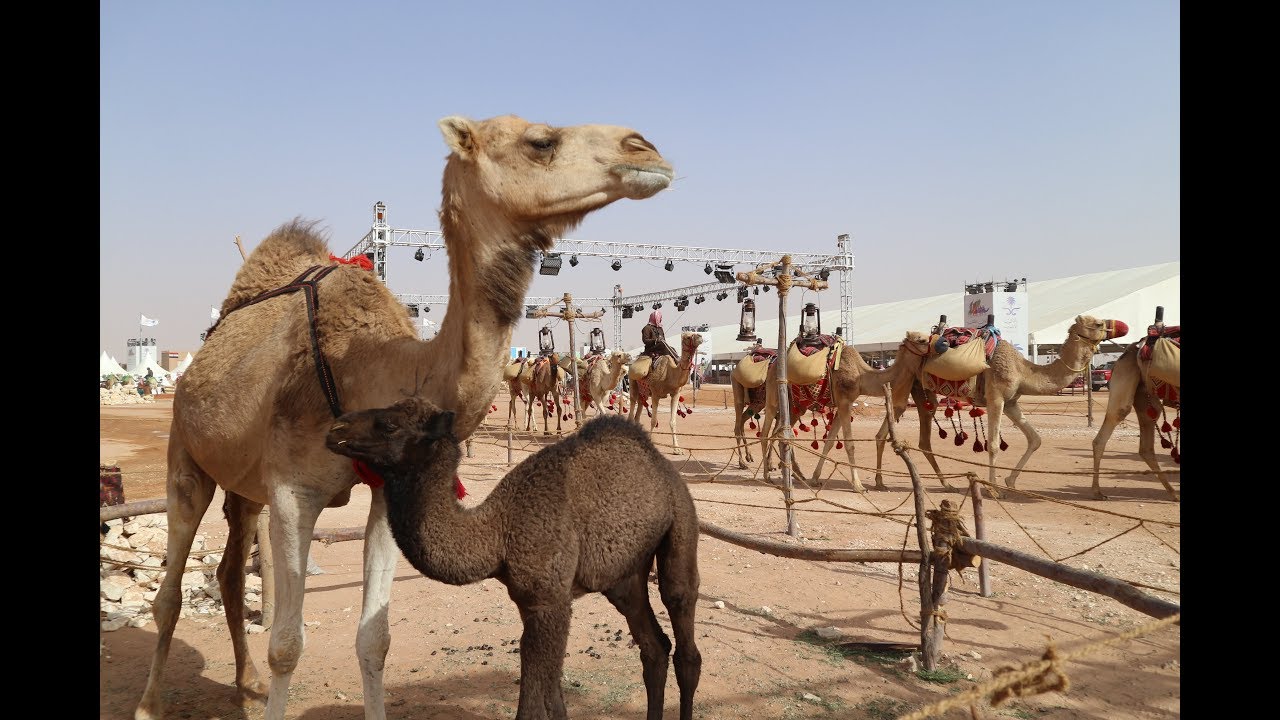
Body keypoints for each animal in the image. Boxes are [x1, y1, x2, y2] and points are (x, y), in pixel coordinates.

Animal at [325, 397, 702, 720]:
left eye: (389, 425)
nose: (335, 430)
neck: (499, 534)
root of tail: (660, 464)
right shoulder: (529, 602)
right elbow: (553, 693)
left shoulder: (549, 601)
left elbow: (534, 706)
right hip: (624, 576)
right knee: (654, 647)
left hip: (682, 520)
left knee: (683, 626)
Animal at [874, 315, 1128, 499]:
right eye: (1098, 323)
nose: (1122, 326)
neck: (1023, 370)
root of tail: (905, 342)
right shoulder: (996, 397)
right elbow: (994, 445)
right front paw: (993, 488)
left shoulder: (1011, 402)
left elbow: (1035, 439)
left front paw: (1010, 482)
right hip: (906, 378)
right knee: (889, 423)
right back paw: (879, 482)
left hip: (921, 389)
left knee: (917, 435)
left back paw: (935, 484)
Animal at [1089, 342, 1181, 501]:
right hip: (1126, 378)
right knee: (1106, 432)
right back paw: (1097, 492)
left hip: (1145, 397)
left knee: (1146, 448)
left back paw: (1173, 493)